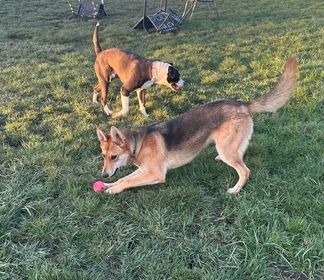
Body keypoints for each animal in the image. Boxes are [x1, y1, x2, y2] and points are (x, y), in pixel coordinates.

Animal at [95, 56, 298, 195]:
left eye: (114, 157)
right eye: (103, 156)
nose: (104, 175)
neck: (138, 143)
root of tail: (242, 104)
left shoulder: (155, 173)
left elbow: (126, 182)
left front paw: (113, 189)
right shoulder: (144, 170)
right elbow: (124, 177)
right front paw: (109, 184)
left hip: (227, 149)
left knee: (245, 171)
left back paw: (235, 190)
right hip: (228, 145)